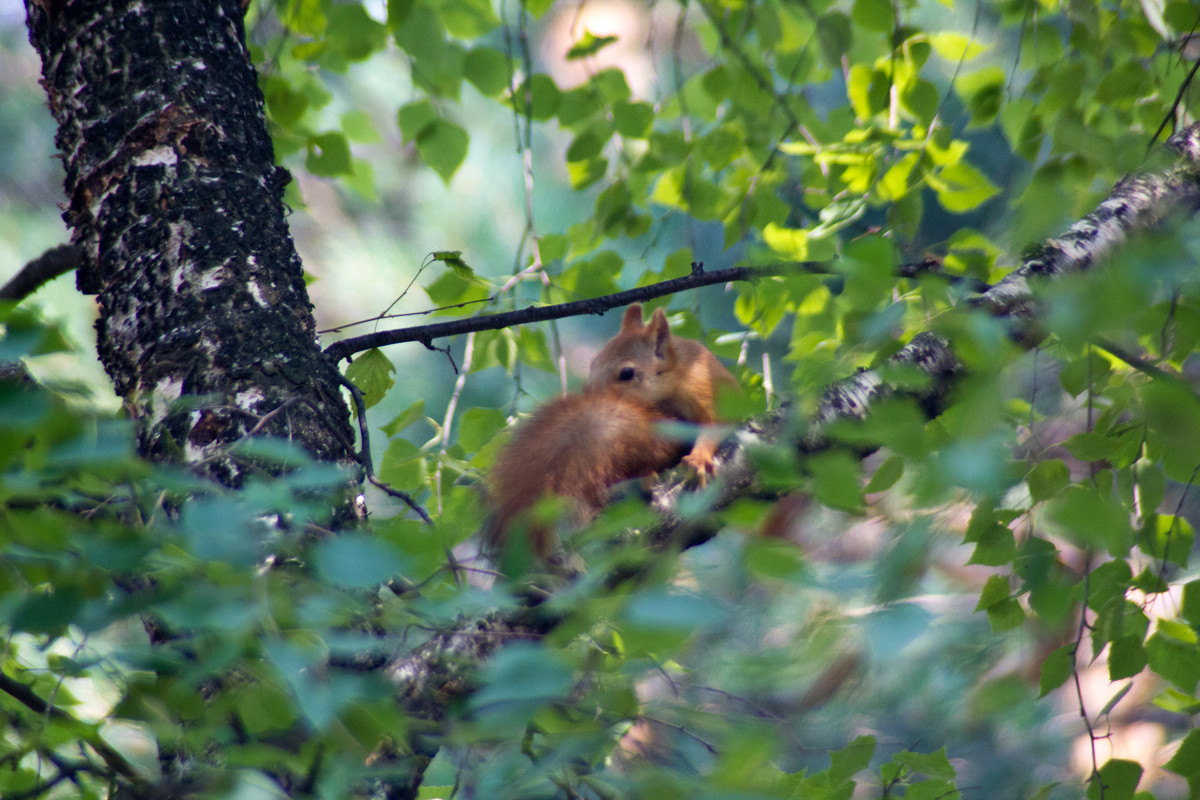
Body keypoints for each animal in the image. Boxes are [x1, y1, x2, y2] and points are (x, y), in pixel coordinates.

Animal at [482, 303, 734, 561]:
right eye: (593, 363)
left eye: (627, 373)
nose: (590, 396)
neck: (672, 387)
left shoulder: (709, 390)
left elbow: (718, 424)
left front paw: (699, 459)